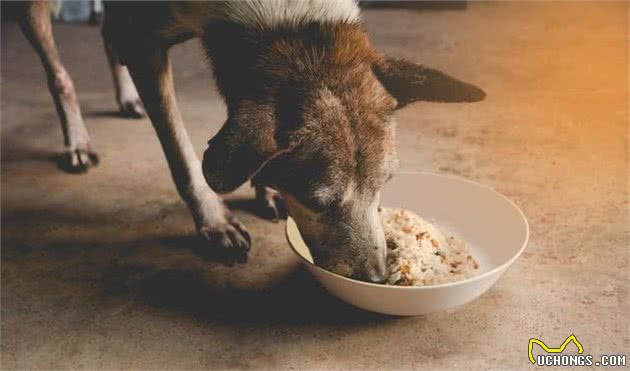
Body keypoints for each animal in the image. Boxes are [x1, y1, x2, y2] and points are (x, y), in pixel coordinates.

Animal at [16, 1, 488, 284]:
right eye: (316, 202)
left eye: (384, 186)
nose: (376, 278)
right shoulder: (145, 40)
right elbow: (182, 154)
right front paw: (214, 221)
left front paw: (266, 190)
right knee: (59, 71)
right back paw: (77, 140)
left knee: (107, 34)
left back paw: (126, 97)